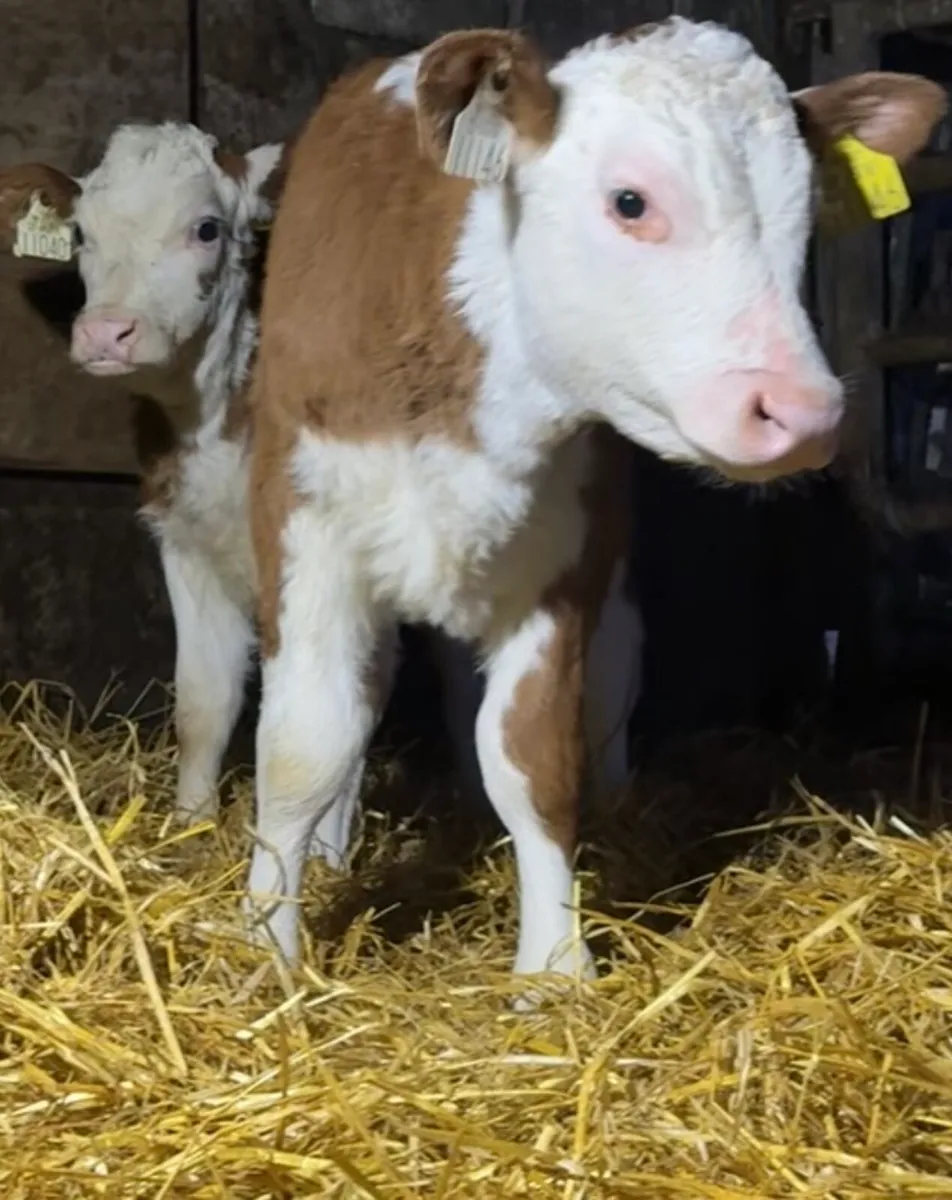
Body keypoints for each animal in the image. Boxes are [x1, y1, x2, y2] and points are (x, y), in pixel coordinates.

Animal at [0, 122, 643, 866]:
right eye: (81, 233)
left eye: (206, 228)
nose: (106, 331)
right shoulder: (186, 541)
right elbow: (203, 700)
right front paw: (190, 826)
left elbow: (350, 702)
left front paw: (327, 859)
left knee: (617, 653)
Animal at [242, 16, 945, 989]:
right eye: (631, 202)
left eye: (806, 211)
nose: (803, 412)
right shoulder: (302, 528)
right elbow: (303, 746)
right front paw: (265, 950)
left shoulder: (560, 562)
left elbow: (534, 755)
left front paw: (554, 963)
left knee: (607, 676)